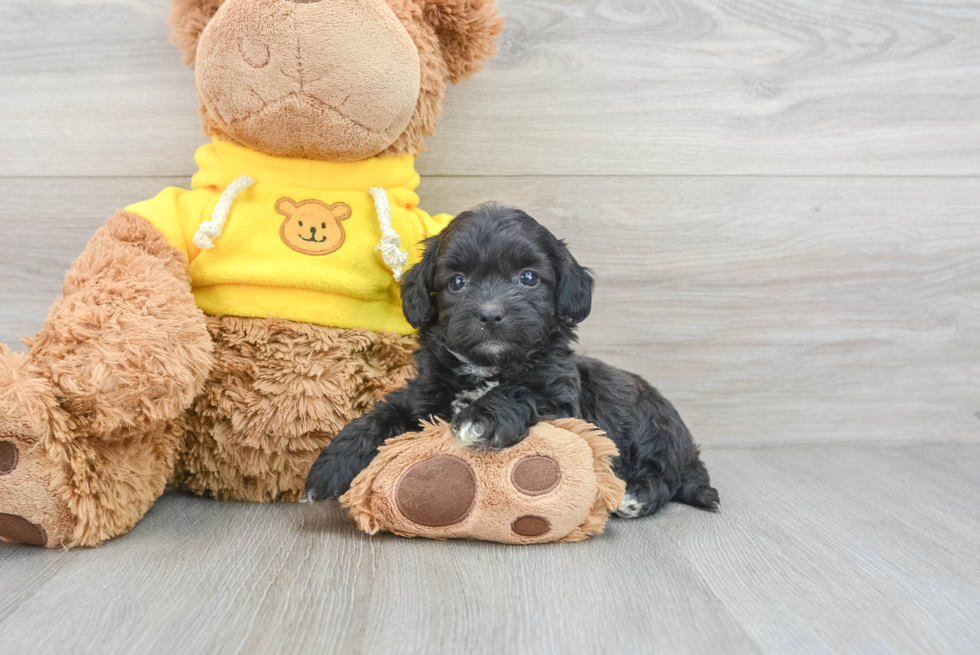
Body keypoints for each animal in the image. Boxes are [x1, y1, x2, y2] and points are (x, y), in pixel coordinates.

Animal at [306, 205, 720, 516]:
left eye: (528, 278)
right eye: (457, 282)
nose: (491, 315)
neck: (489, 367)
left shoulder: (561, 406)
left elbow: (518, 392)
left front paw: (479, 419)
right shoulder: (422, 399)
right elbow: (378, 417)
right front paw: (329, 468)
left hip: (649, 424)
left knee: (667, 476)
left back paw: (634, 495)